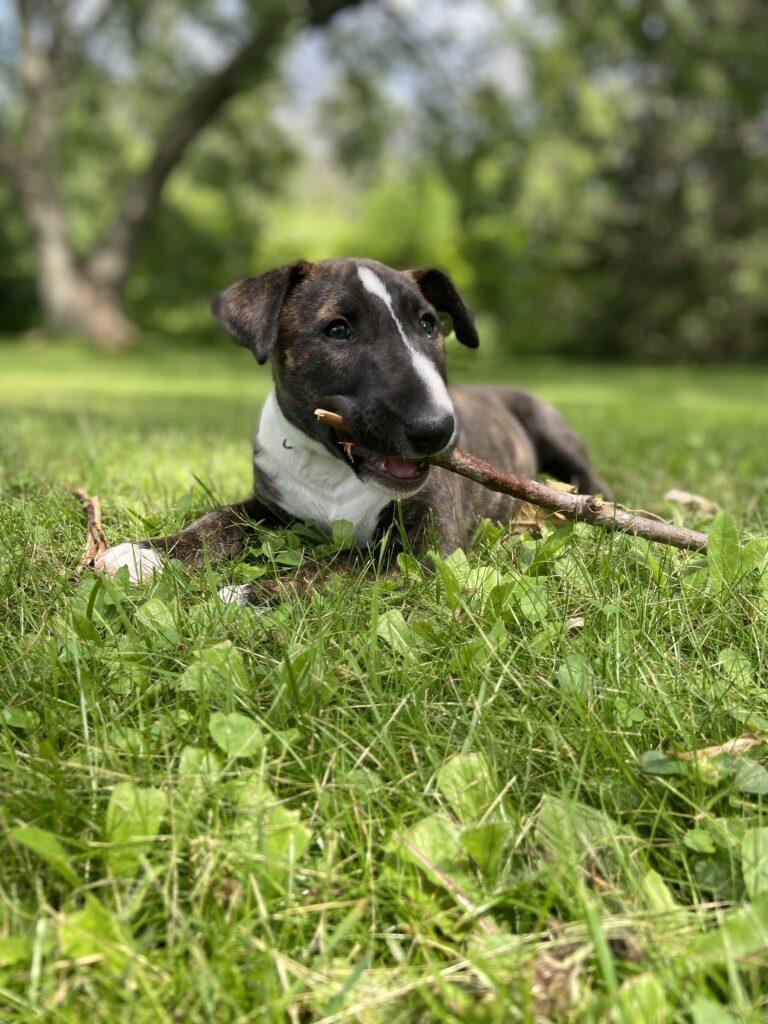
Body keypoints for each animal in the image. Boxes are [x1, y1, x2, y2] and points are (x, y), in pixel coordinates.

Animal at [93, 256, 610, 602]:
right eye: (338, 330)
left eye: (429, 324)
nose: (438, 430)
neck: (333, 471)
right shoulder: (270, 508)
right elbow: (219, 520)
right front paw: (146, 554)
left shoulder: (426, 547)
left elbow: (339, 565)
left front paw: (247, 595)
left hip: (554, 433)